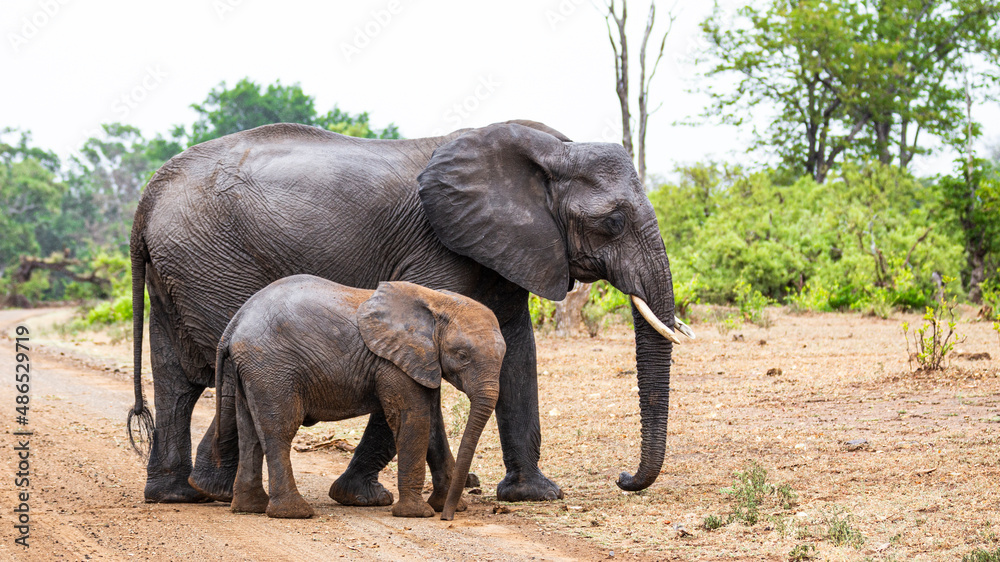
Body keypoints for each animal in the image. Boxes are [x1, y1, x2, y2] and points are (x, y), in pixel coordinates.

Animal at [215, 274, 504, 520]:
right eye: (462, 355)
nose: (448, 517)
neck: (437, 301)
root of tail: (234, 324)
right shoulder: (393, 362)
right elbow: (413, 418)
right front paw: (417, 514)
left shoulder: (423, 361)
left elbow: (432, 424)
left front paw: (443, 506)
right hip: (271, 368)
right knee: (279, 430)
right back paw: (295, 513)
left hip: (253, 370)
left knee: (250, 432)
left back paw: (250, 508)